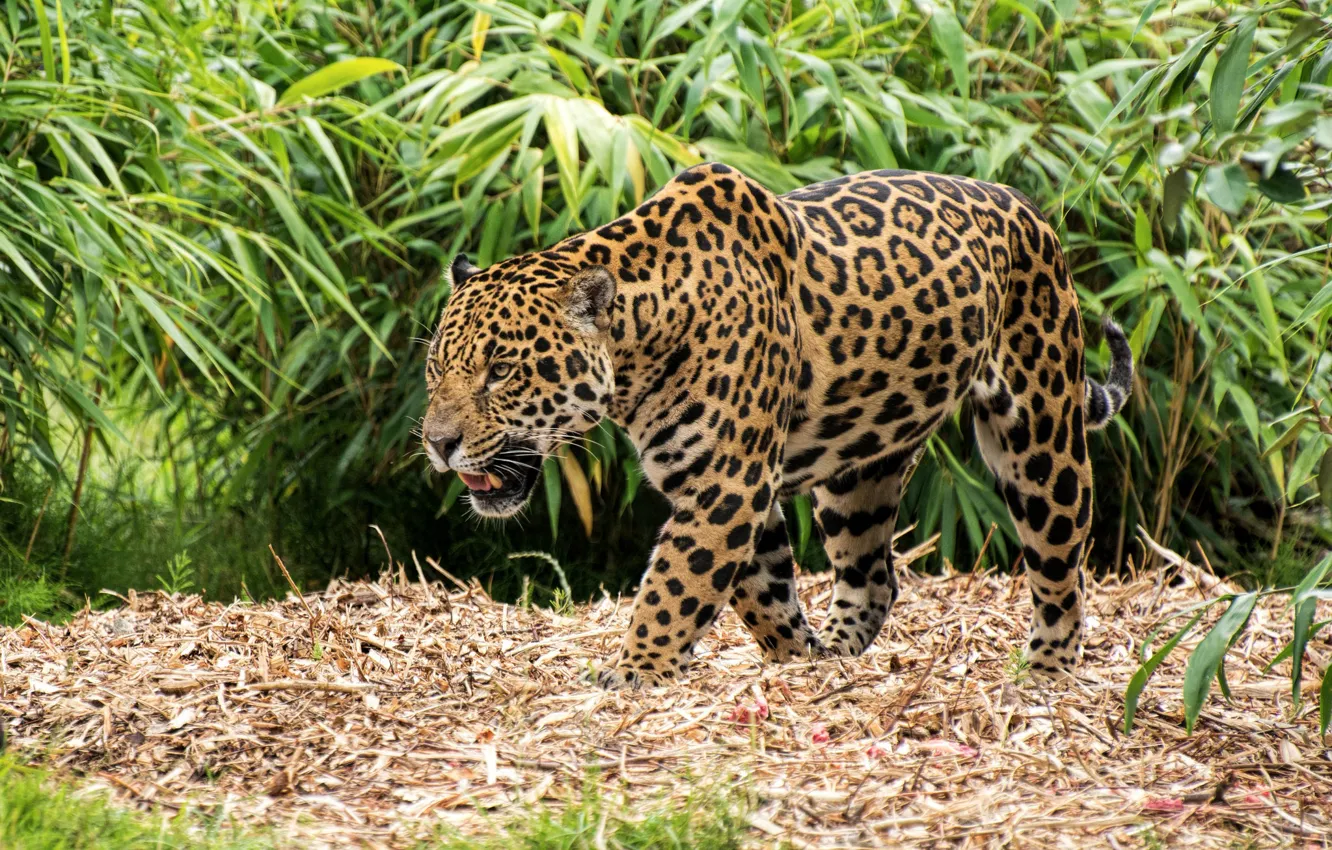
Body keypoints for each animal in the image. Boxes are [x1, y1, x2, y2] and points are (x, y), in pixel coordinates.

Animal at [421, 162, 1133, 689]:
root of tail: (1028, 207)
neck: (642, 338)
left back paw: (1046, 669)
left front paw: (634, 673)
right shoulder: (733, 486)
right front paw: (799, 659)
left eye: (501, 372)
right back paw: (841, 651)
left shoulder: (726, 484)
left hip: (1041, 432)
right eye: (435, 368)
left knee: (1061, 564)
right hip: (858, 475)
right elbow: (760, 592)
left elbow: (673, 585)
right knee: (875, 576)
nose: (437, 443)